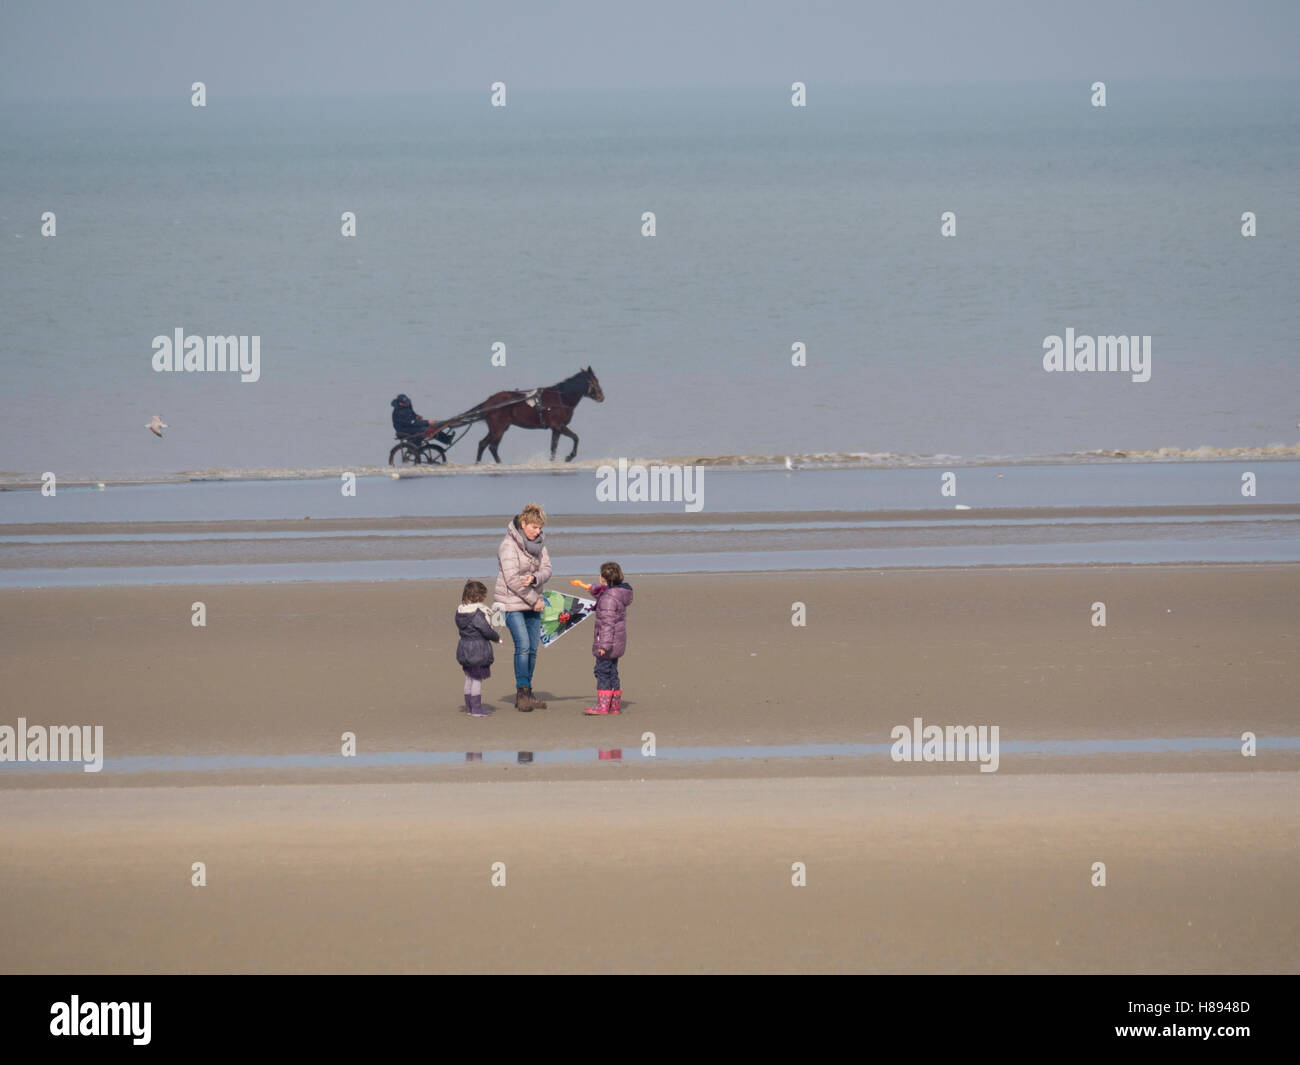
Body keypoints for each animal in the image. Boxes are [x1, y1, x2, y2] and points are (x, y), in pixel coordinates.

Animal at [473, 366, 603, 462]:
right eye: (594, 381)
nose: (602, 397)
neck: (561, 398)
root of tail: (488, 402)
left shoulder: (556, 429)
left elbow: (553, 447)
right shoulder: (558, 425)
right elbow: (576, 437)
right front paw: (569, 456)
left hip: (497, 428)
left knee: (482, 444)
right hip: (499, 428)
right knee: (492, 447)